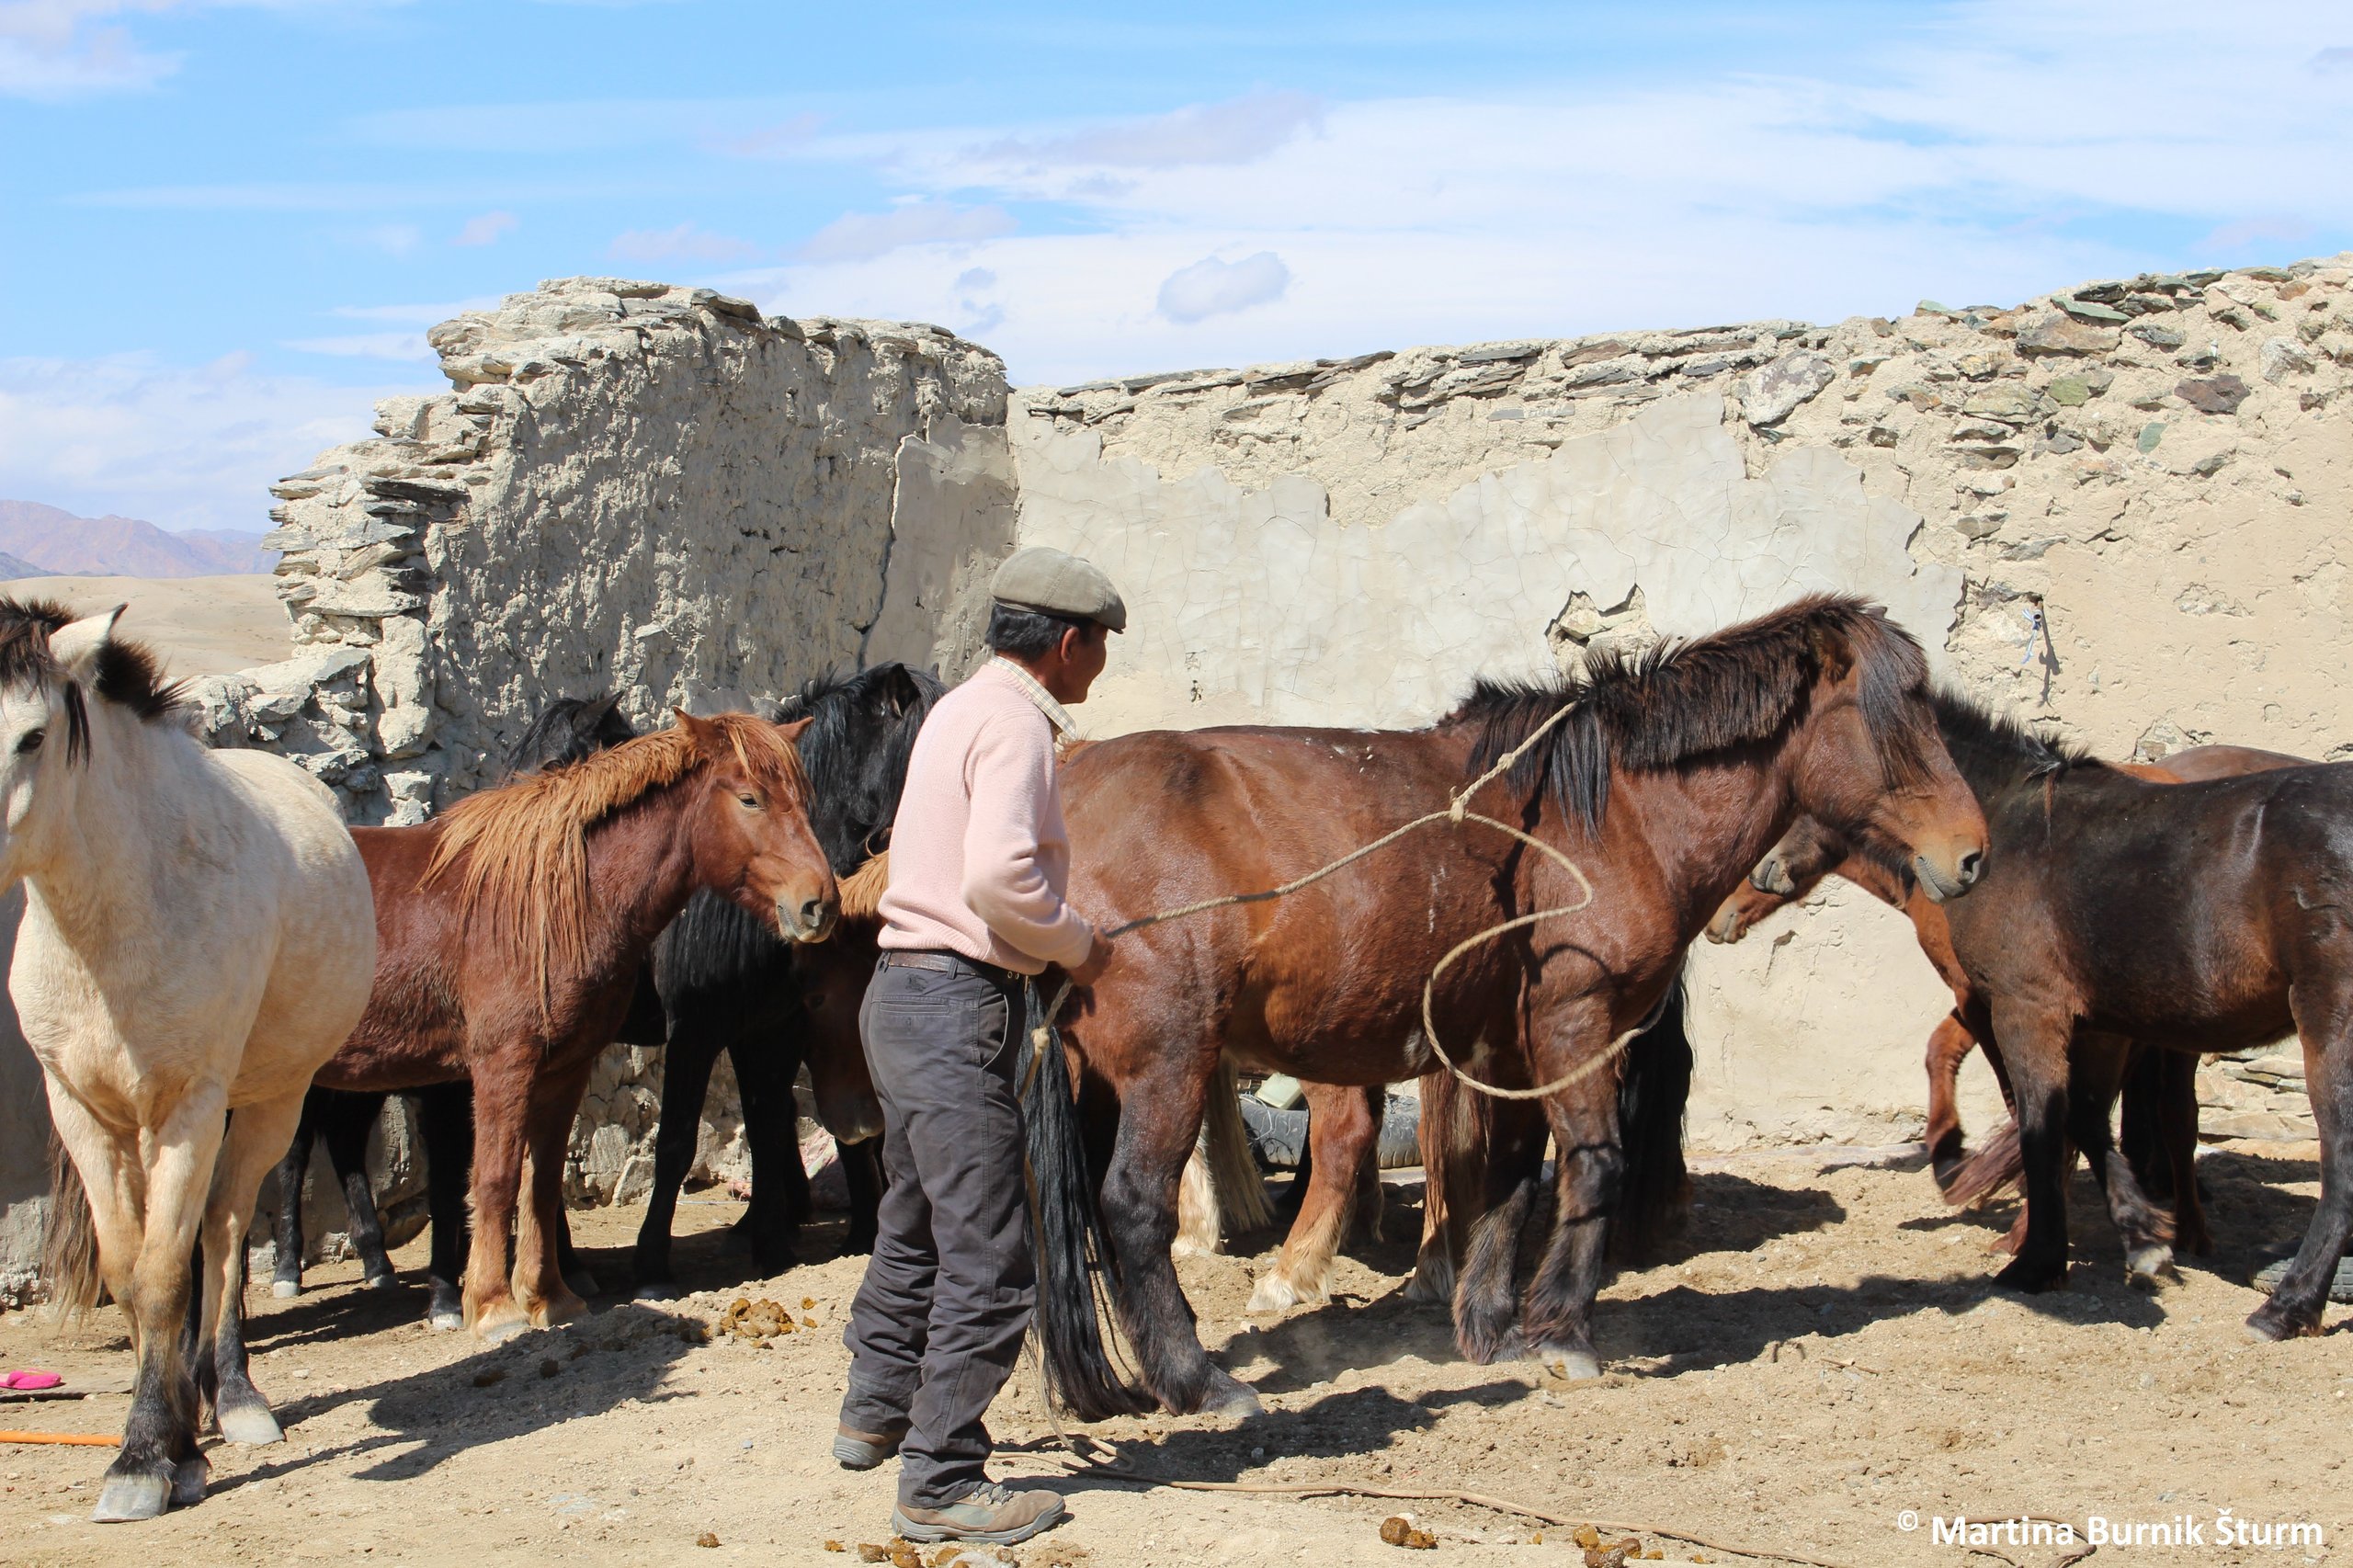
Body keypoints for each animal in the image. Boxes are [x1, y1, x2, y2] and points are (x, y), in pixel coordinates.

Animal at [3, 597, 376, 1516]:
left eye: (32, 737)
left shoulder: (188, 1107)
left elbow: (171, 1271)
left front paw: (147, 1457)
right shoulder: (83, 1110)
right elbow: (128, 1272)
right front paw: (165, 1438)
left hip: (270, 1101)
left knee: (226, 1226)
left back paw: (232, 1396)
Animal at [1030, 588, 1985, 1412]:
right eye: (1895, 717)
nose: (1971, 854)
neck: (1609, 818)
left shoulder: (1512, 1049)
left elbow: (1512, 1180)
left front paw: (1490, 1325)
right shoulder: (1576, 1025)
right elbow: (1594, 1166)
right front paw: (1563, 1331)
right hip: (1168, 1064)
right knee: (1134, 1208)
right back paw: (1199, 1379)